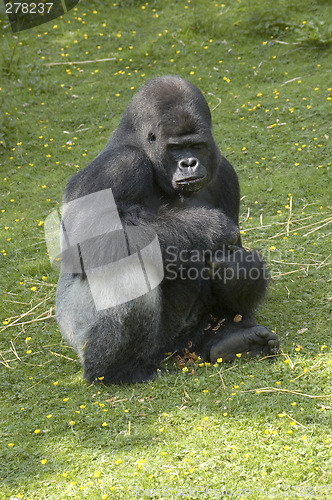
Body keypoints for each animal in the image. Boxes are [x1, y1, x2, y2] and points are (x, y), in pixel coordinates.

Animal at [55, 76, 278, 384]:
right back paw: (117, 370)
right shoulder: (118, 165)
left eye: (196, 145)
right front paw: (208, 228)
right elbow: (85, 242)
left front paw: (238, 266)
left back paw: (229, 341)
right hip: (80, 333)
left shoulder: (225, 174)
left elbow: (237, 254)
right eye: (175, 148)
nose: (189, 163)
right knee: (128, 265)